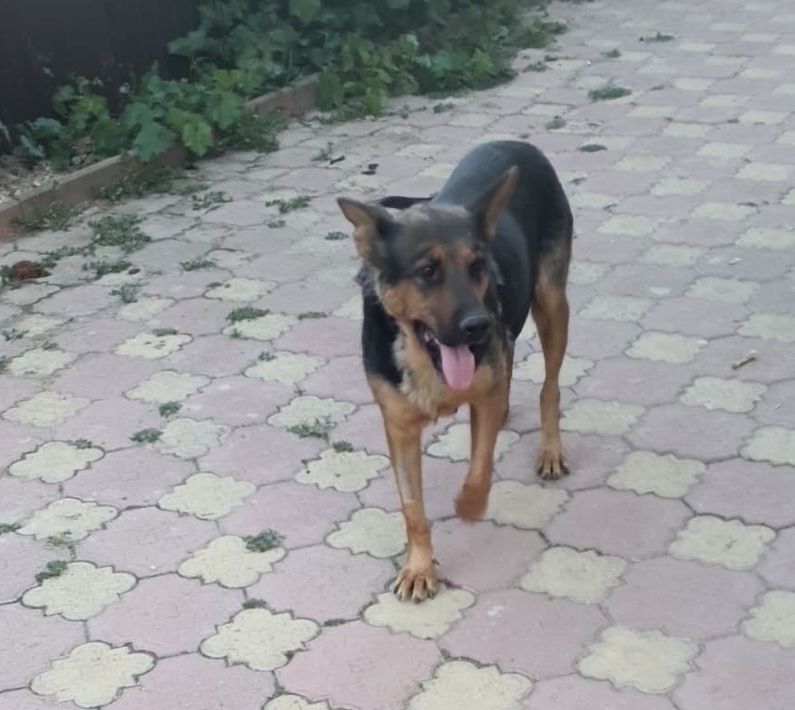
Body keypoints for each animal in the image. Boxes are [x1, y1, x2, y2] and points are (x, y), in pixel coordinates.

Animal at [337, 140, 573, 601]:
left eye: (478, 267)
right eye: (427, 271)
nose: (478, 326)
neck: (424, 358)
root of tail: (517, 143)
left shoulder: (484, 390)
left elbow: (479, 466)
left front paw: (468, 505)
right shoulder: (399, 426)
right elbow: (412, 507)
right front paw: (418, 568)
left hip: (552, 302)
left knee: (548, 387)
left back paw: (550, 449)